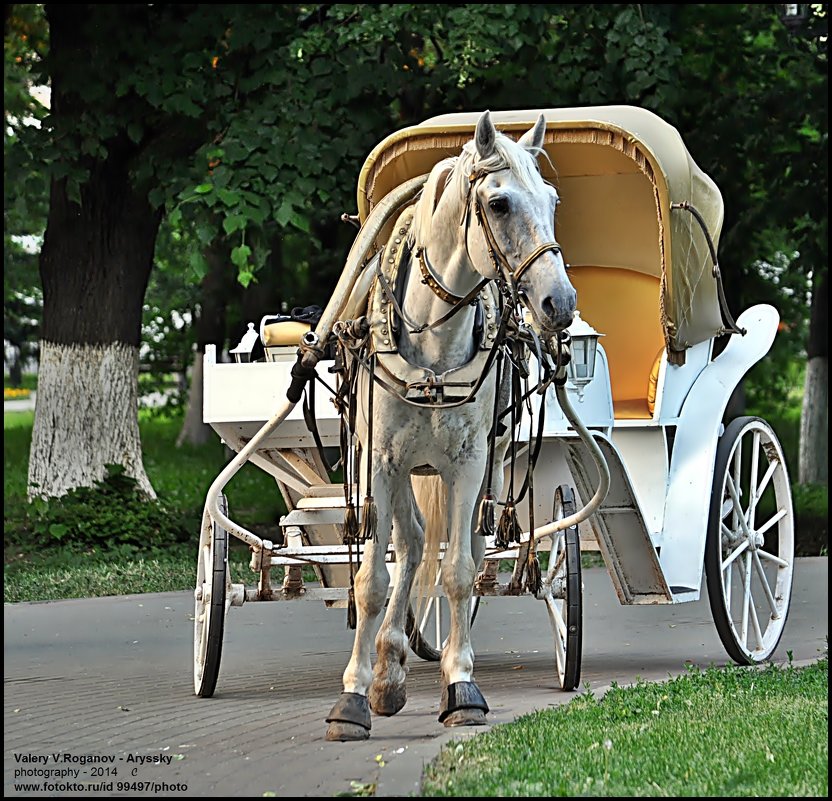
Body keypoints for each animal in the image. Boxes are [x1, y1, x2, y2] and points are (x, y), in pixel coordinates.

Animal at [322, 109, 576, 740]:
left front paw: (461, 687)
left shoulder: (468, 463)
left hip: (477, 468)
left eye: (552, 200)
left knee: (456, 551)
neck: (434, 349)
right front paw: (353, 695)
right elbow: (373, 580)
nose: (560, 303)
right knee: (410, 548)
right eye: (500, 204)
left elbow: (459, 571)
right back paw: (386, 669)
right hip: (402, 470)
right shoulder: (380, 461)